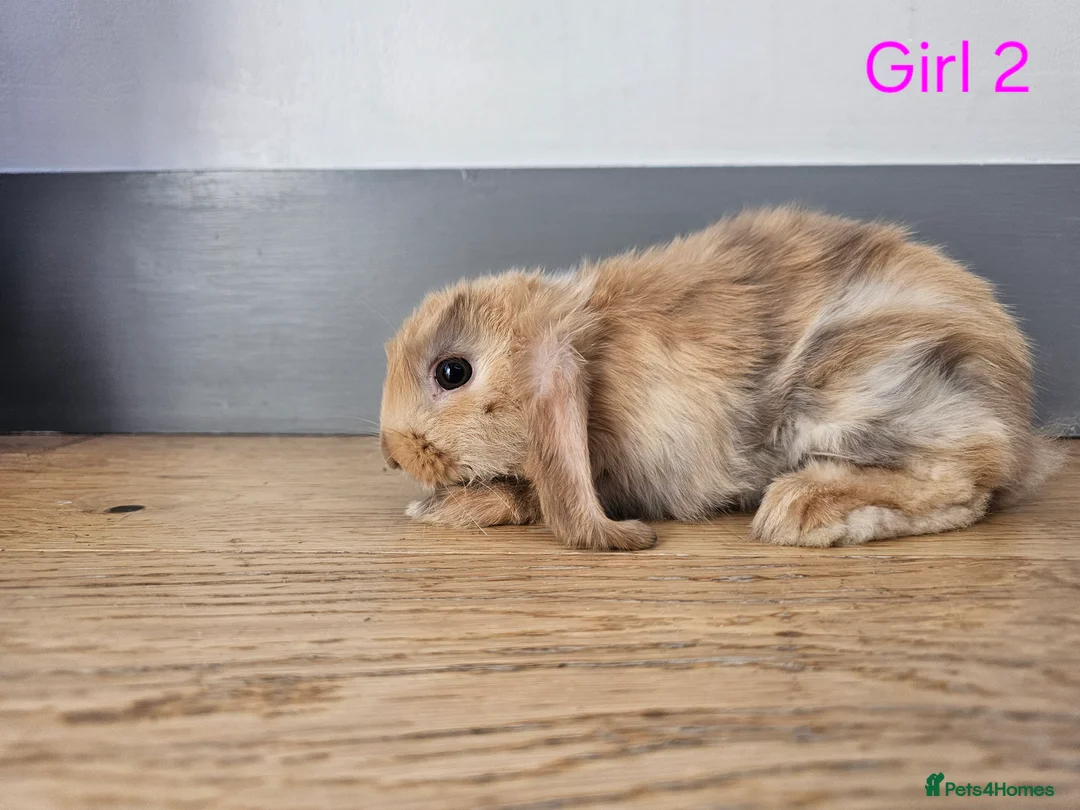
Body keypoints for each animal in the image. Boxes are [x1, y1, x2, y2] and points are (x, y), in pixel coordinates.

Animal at [379, 207, 1062, 551]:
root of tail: (1014, 403)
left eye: (452, 371)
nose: (391, 453)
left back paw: (802, 511)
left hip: (853, 392)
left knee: (964, 481)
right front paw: (441, 509)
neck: (592, 343)